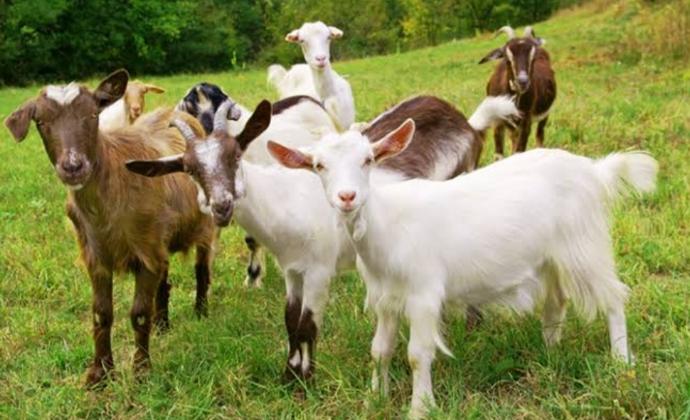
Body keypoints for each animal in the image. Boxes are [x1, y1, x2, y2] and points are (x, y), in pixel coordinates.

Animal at [4, 69, 218, 387]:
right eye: (40, 122)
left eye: (93, 114)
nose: (73, 167)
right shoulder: (97, 255)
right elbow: (101, 313)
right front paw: (100, 373)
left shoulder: (145, 251)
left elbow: (139, 313)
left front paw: (141, 371)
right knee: (164, 281)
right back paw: (162, 325)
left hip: (203, 226)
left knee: (202, 269)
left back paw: (201, 312)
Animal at [127, 95, 517, 384]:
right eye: (189, 168)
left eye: (235, 154)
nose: (221, 205)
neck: (285, 201)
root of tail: (467, 123)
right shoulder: (292, 269)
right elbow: (289, 319)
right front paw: (289, 376)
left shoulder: (319, 269)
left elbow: (307, 324)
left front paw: (306, 380)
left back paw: (472, 325)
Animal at [269, 121, 657, 418]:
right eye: (319, 166)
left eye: (368, 160)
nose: (347, 197)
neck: (388, 226)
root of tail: (593, 170)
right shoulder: (385, 297)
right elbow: (379, 349)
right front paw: (374, 399)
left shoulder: (424, 294)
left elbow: (417, 354)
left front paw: (420, 408)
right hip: (551, 256)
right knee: (556, 301)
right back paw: (550, 352)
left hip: (583, 244)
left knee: (613, 297)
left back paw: (621, 361)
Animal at [479, 26, 557, 159]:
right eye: (507, 58)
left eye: (533, 58)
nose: (522, 81)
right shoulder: (497, 122)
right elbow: (499, 155)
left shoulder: (526, 121)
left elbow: (519, 151)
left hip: (544, 115)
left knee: (539, 135)